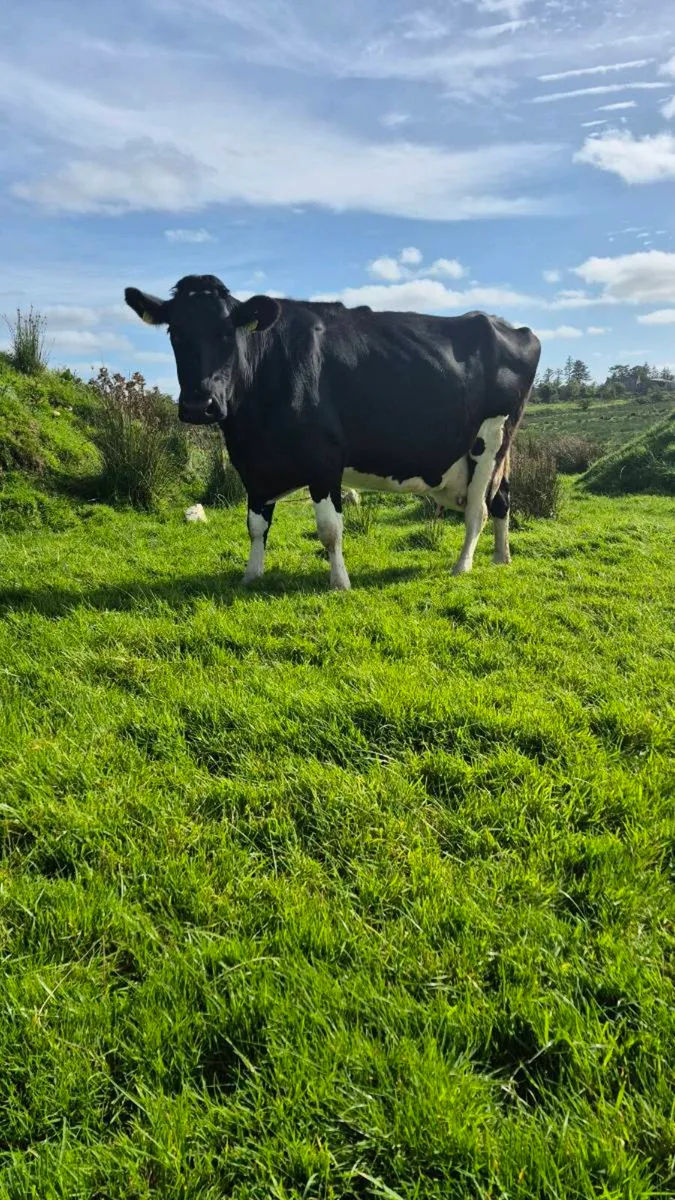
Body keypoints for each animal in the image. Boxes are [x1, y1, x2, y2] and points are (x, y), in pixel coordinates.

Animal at [125, 275, 541, 590]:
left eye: (230, 334)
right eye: (175, 333)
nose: (200, 405)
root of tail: (508, 325)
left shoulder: (324, 460)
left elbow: (329, 529)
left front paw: (340, 583)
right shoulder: (254, 466)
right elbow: (256, 526)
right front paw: (251, 576)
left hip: (490, 440)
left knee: (477, 509)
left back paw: (462, 565)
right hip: (499, 451)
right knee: (501, 499)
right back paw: (501, 558)